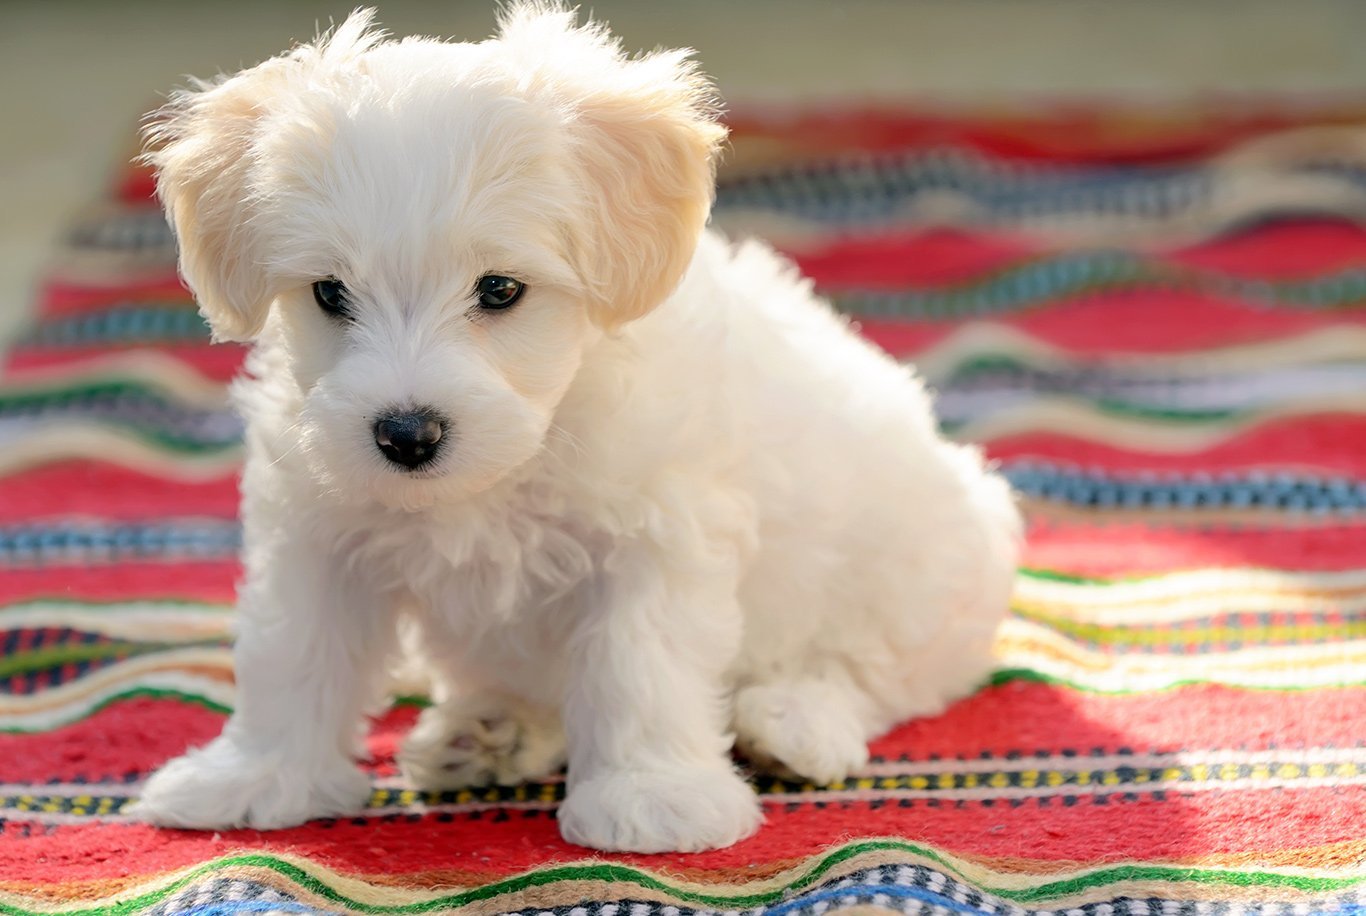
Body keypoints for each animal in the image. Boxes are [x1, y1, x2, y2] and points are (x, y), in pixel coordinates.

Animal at [133, 3, 1021, 857]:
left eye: (500, 289)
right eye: (329, 293)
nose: (406, 435)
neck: (514, 459)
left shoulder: (655, 535)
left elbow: (640, 665)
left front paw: (654, 798)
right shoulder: (320, 530)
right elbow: (292, 653)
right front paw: (256, 778)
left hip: (921, 566)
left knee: (872, 673)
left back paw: (793, 724)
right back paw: (490, 734)